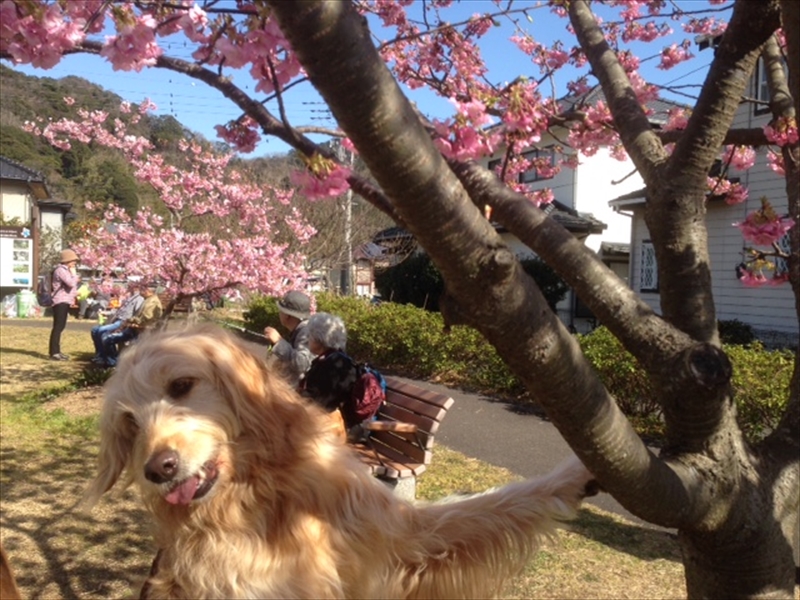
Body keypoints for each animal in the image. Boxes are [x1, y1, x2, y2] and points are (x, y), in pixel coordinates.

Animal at [87, 326, 596, 596]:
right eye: (130, 424)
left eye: (180, 386)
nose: (157, 470)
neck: (261, 499)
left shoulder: (397, 532)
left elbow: (492, 506)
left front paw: (575, 473)